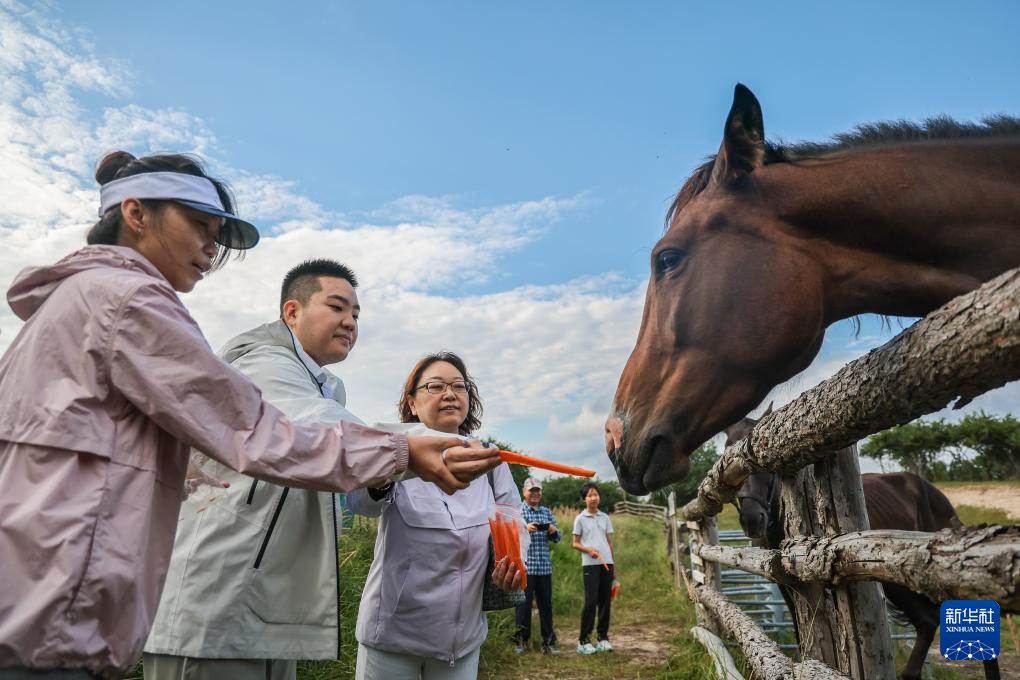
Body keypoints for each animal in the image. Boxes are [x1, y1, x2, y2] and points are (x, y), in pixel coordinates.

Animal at [726, 414, 987, 680]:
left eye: (763, 465)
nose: (752, 519)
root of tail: (934, 493)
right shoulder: (787, 585)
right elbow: (800, 634)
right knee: (927, 621)